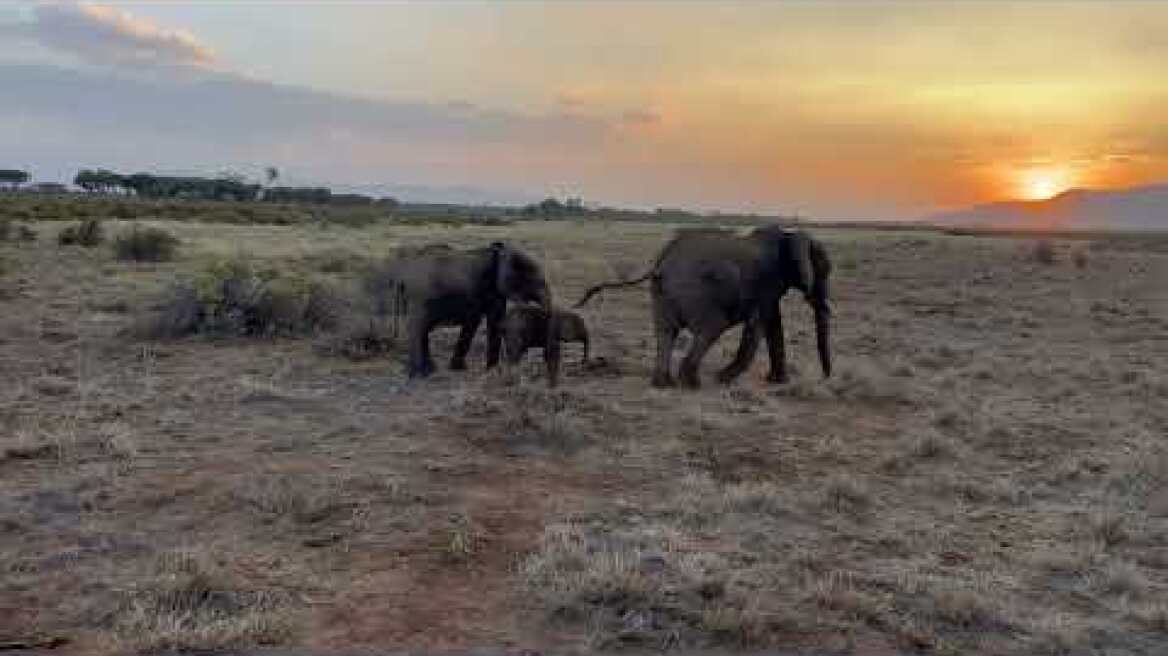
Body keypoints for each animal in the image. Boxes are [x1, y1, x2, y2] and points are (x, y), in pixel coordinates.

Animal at [387, 241, 560, 385]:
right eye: (533, 280)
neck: (498, 253)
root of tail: (402, 277)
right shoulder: (482, 289)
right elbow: (481, 320)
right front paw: (490, 371)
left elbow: (490, 322)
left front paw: (481, 370)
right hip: (420, 298)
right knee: (418, 328)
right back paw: (419, 375)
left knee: (421, 329)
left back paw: (428, 370)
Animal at [575, 225, 831, 388]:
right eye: (824, 272)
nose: (824, 378)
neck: (789, 235)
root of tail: (661, 260)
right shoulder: (766, 283)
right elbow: (758, 325)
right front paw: (722, 379)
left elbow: (772, 325)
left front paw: (778, 382)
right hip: (697, 293)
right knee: (711, 329)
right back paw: (691, 384)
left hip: (661, 294)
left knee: (666, 332)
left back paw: (664, 384)